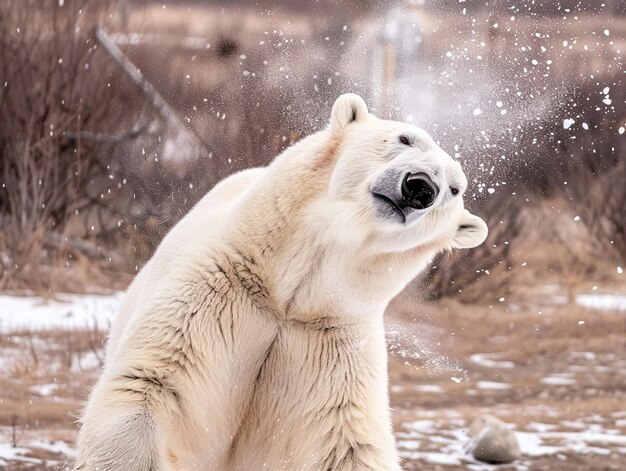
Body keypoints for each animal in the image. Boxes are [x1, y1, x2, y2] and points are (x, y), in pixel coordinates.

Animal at [75, 94, 488, 470]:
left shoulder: (331, 353)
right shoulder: (216, 296)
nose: (421, 187)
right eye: (405, 138)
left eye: (455, 189)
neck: (287, 295)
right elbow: (149, 385)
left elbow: (346, 444)